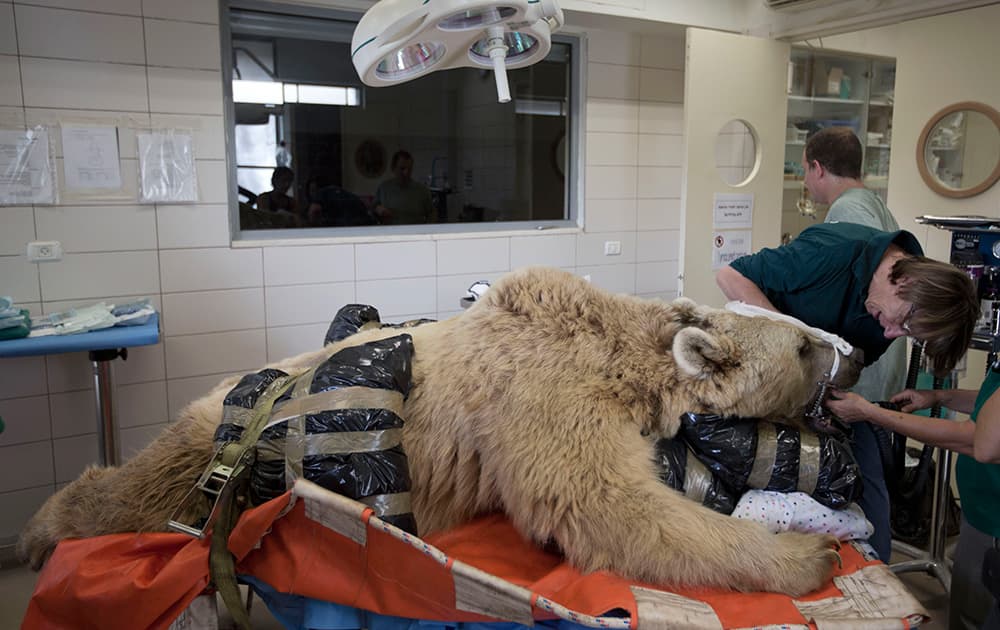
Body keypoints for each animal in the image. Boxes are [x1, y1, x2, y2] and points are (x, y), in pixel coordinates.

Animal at [19, 266, 868, 596]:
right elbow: (601, 503)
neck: (618, 347)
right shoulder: (544, 389)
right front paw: (805, 553)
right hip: (223, 432)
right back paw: (41, 530)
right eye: (803, 344)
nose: (855, 357)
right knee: (139, 488)